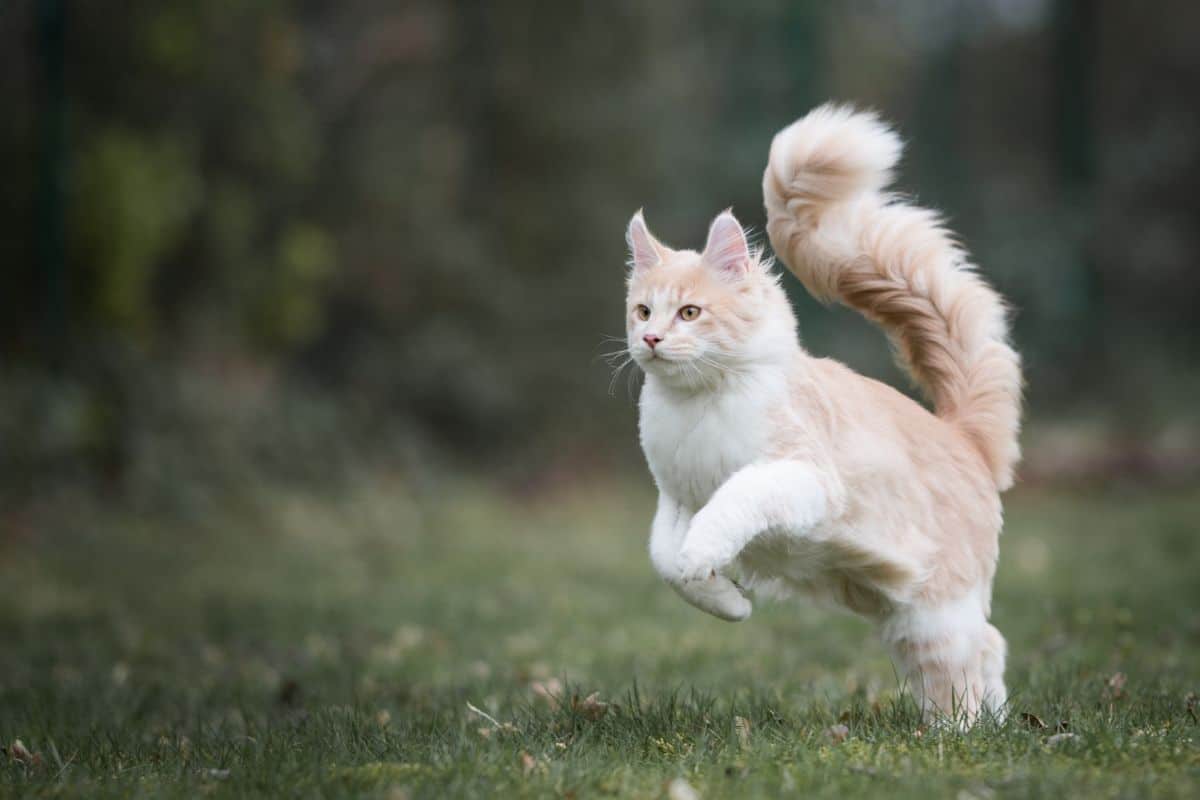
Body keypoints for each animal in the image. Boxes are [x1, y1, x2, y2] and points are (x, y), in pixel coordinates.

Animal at [628, 103, 1022, 724]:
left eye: (689, 313)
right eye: (643, 310)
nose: (650, 339)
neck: (696, 405)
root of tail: (963, 437)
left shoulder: (802, 477)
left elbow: (734, 501)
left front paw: (707, 556)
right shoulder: (676, 499)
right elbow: (664, 558)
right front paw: (727, 601)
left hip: (936, 615)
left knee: (972, 661)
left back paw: (960, 734)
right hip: (903, 615)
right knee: (985, 652)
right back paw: (986, 725)